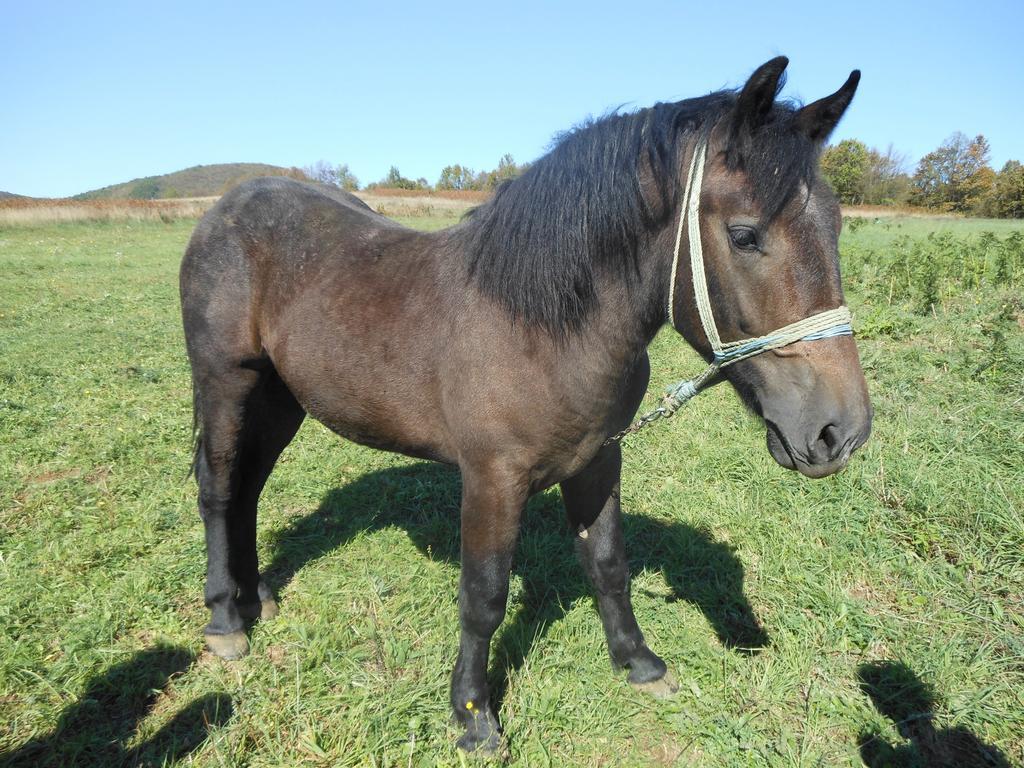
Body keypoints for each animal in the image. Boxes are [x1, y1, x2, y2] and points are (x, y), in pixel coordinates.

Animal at [178, 57, 872, 753]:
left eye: (838, 225)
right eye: (745, 235)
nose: (840, 433)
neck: (542, 326)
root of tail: (226, 207)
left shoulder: (600, 460)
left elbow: (607, 564)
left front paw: (639, 663)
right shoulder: (493, 478)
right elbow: (483, 595)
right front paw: (473, 715)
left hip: (281, 397)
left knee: (249, 487)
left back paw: (257, 596)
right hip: (225, 382)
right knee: (219, 489)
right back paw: (225, 620)